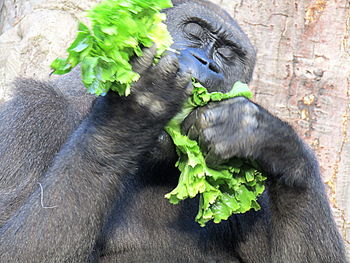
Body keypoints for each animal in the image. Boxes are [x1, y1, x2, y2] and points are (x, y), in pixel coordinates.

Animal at [0, 0, 346, 262]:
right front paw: (133, 112)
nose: (206, 63)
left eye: (227, 54)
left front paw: (264, 137)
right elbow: (15, 250)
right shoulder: (33, 113)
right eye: (194, 32)